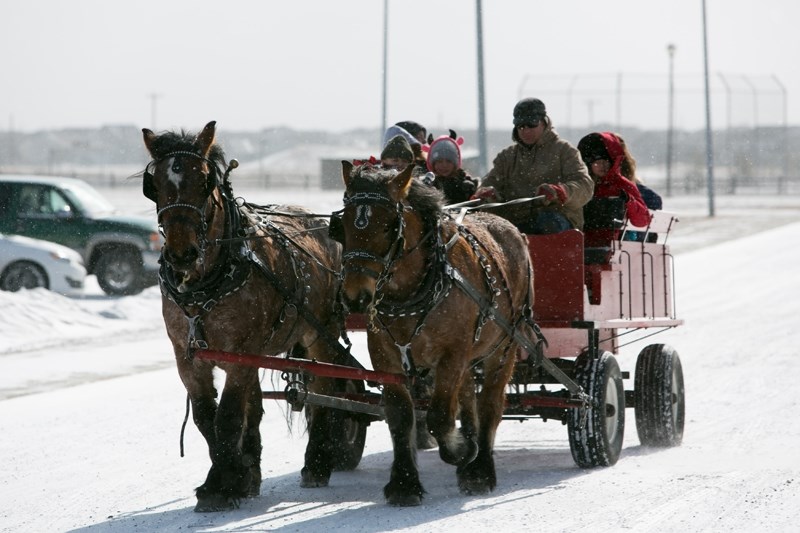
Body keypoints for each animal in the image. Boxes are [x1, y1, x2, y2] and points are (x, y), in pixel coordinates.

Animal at [143, 120, 346, 512]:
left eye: (204, 180)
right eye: (155, 184)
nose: (181, 253)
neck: (206, 284)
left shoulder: (239, 352)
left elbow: (228, 416)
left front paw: (222, 484)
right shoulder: (187, 357)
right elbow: (207, 417)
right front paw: (234, 475)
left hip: (320, 332)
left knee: (324, 389)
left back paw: (317, 462)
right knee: (256, 405)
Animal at [338, 161, 536, 502]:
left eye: (389, 226)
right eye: (345, 222)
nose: (356, 296)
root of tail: (511, 227)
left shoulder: (452, 354)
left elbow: (440, 416)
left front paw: (462, 451)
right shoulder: (386, 357)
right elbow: (401, 416)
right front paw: (404, 482)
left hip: (504, 344)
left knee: (490, 403)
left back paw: (480, 467)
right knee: (468, 396)